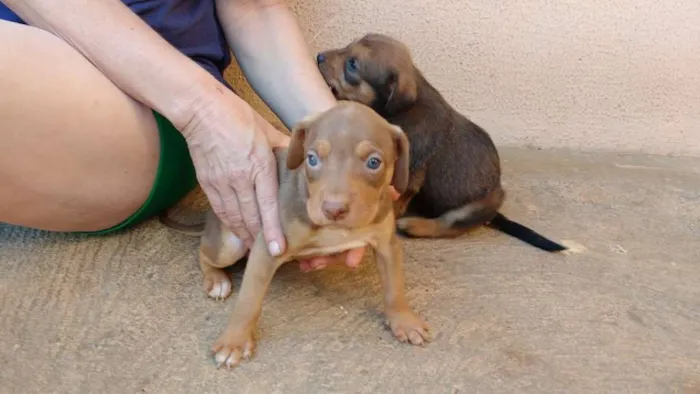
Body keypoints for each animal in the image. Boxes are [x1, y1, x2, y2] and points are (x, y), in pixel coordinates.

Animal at [204, 101, 426, 370]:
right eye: (311, 159)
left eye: (374, 163)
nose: (334, 209)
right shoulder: (269, 245)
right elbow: (249, 300)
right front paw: (234, 342)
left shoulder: (387, 245)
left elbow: (395, 287)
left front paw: (404, 320)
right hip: (229, 244)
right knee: (204, 252)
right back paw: (216, 279)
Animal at [318, 32, 568, 251]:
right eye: (347, 47)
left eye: (352, 64)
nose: (318, 56)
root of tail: (495, 213)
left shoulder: (409, 175)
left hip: (475, 206)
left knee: (448, 225)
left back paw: (415, 225)